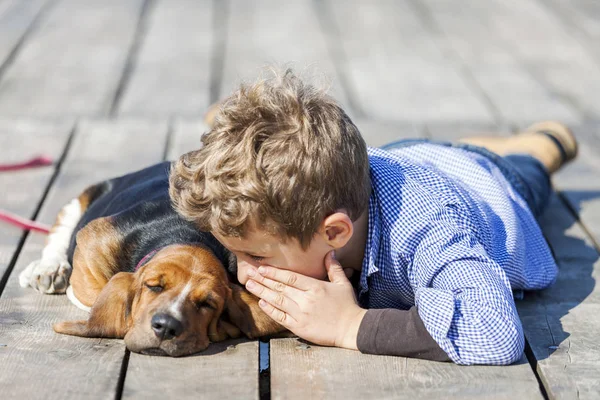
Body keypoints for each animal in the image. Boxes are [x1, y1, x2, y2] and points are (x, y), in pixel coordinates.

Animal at [19, 162, 284, 356]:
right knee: (59, 234)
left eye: (208, 304)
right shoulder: (91, 239)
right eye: (153, 286)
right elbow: (94, 292)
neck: (185, 236)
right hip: (80, 202)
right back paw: (48, 269)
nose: (166, 327)